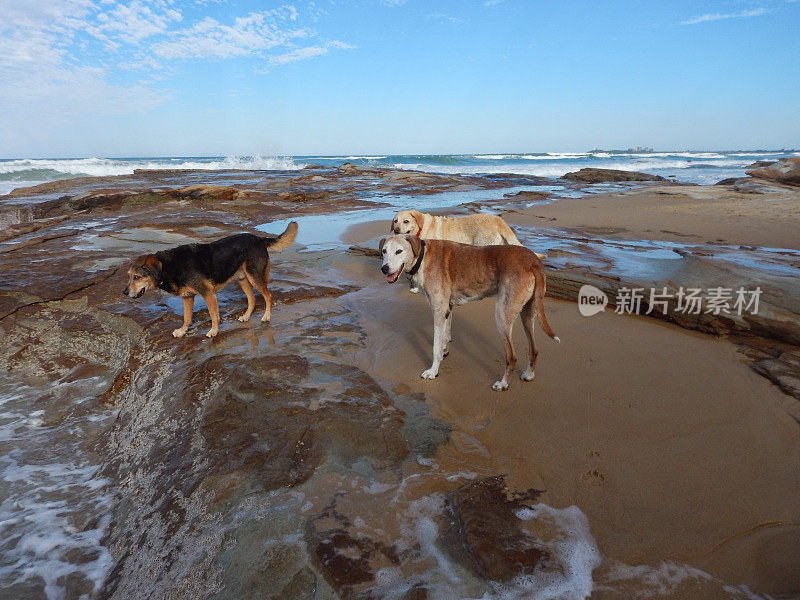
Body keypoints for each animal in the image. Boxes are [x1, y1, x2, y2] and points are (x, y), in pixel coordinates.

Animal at [123, 223, 298, 340]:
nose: (124, 292)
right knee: (252, 299)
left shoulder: (208, 294)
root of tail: (259, 239)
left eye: (137, 277)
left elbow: (214, 315)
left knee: (268, 296)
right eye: (129, 275)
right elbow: (187, 318)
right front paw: (182, 331)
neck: (168, 267)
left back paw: (266, 316)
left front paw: (214, 331)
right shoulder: (187, 297)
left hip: (255, 277)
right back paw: (246, 317)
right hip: (243, 279)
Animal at [380, 232, 556, 392]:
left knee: (511, 356)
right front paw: (445, 352)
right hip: (528, 314)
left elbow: (436, 346)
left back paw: (503, 384)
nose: (384, 269)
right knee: (534, 349)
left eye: (399, 251)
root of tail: (534, 262)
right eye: (384, 251)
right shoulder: (447, 309)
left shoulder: (438, 311)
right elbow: (445, 337)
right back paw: (529, 374)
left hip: (502, 315)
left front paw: (433, 371)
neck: (422, 257)